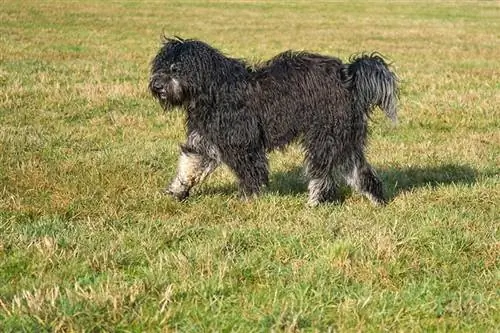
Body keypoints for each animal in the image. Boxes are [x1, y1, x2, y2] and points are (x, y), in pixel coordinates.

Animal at [148, 38, 398, 205]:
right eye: (160, 66)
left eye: (176, 68)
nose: (157, 86)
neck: (214, 90)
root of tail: (349, 75)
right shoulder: (204, 140)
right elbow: (189, 166)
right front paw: (176, 192)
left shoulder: (242, 143)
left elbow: (250, 173)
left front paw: (247, 201)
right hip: (344, 137)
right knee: (358, 169)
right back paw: (376, 199)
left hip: (325, 135)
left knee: (322, 171)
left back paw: (315, 201)